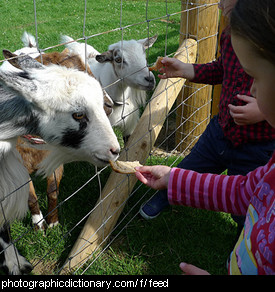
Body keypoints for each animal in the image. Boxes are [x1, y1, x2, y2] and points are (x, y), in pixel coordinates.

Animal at [0, 50, 121, 274]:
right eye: (78, 114)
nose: (114, 151)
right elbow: (29, 199)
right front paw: (16, 260)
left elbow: (53, 191)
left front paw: (53, 223)